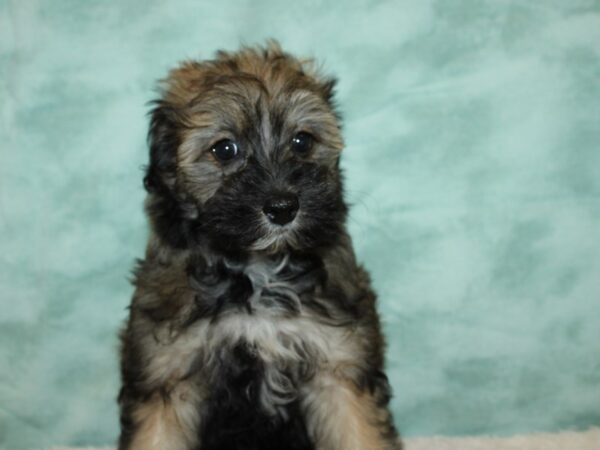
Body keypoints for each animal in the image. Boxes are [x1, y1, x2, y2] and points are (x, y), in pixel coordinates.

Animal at [118, 43, 400, 450]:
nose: (282, 207)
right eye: (224, 149)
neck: (257, 268)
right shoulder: (167, 373)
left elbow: (358, 432)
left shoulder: (338, 363)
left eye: (302, 141)